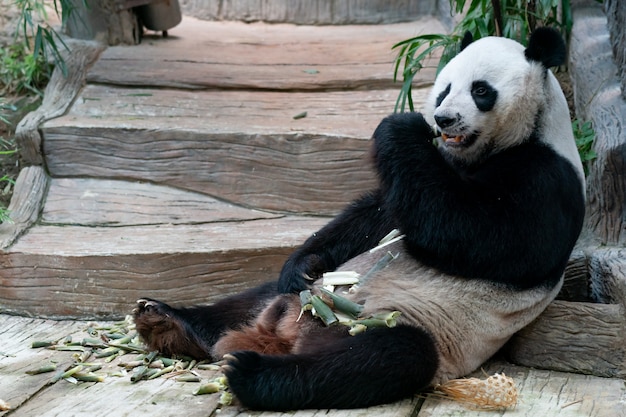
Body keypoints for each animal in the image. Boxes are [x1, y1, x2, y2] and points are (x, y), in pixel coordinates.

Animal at [133, 27, 584, 412]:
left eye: (481, 90)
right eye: (444, 89)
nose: (443, 119)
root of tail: (283, 335)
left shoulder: (547, 182)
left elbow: (479, 236)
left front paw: (401, 126)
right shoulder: (426, 176)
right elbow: (378, 216)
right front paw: (305, 260)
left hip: (405, 326)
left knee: (380, 359)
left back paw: (251, 374)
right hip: (297, 298)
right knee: (256, 295)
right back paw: (168, 322)